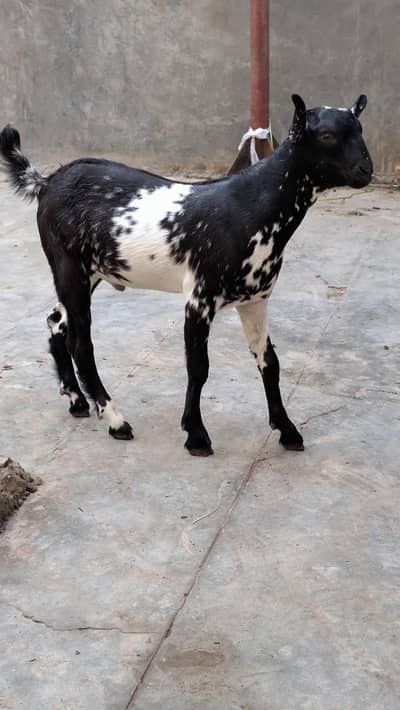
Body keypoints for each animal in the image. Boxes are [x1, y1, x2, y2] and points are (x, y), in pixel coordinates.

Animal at [0, 94, 372, 456]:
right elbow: (199, 366)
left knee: (56, 322)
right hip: (69, 267)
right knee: (81, 343)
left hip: (87, 272)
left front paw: (287, 430)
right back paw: (115, 419)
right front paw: (196, 435)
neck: (249, 208)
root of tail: (45, 183)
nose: (366, 170)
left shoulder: (255, 301)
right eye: (327, 136)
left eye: (359, 129)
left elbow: (269, 361)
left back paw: (77, 399)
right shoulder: (199, 299)